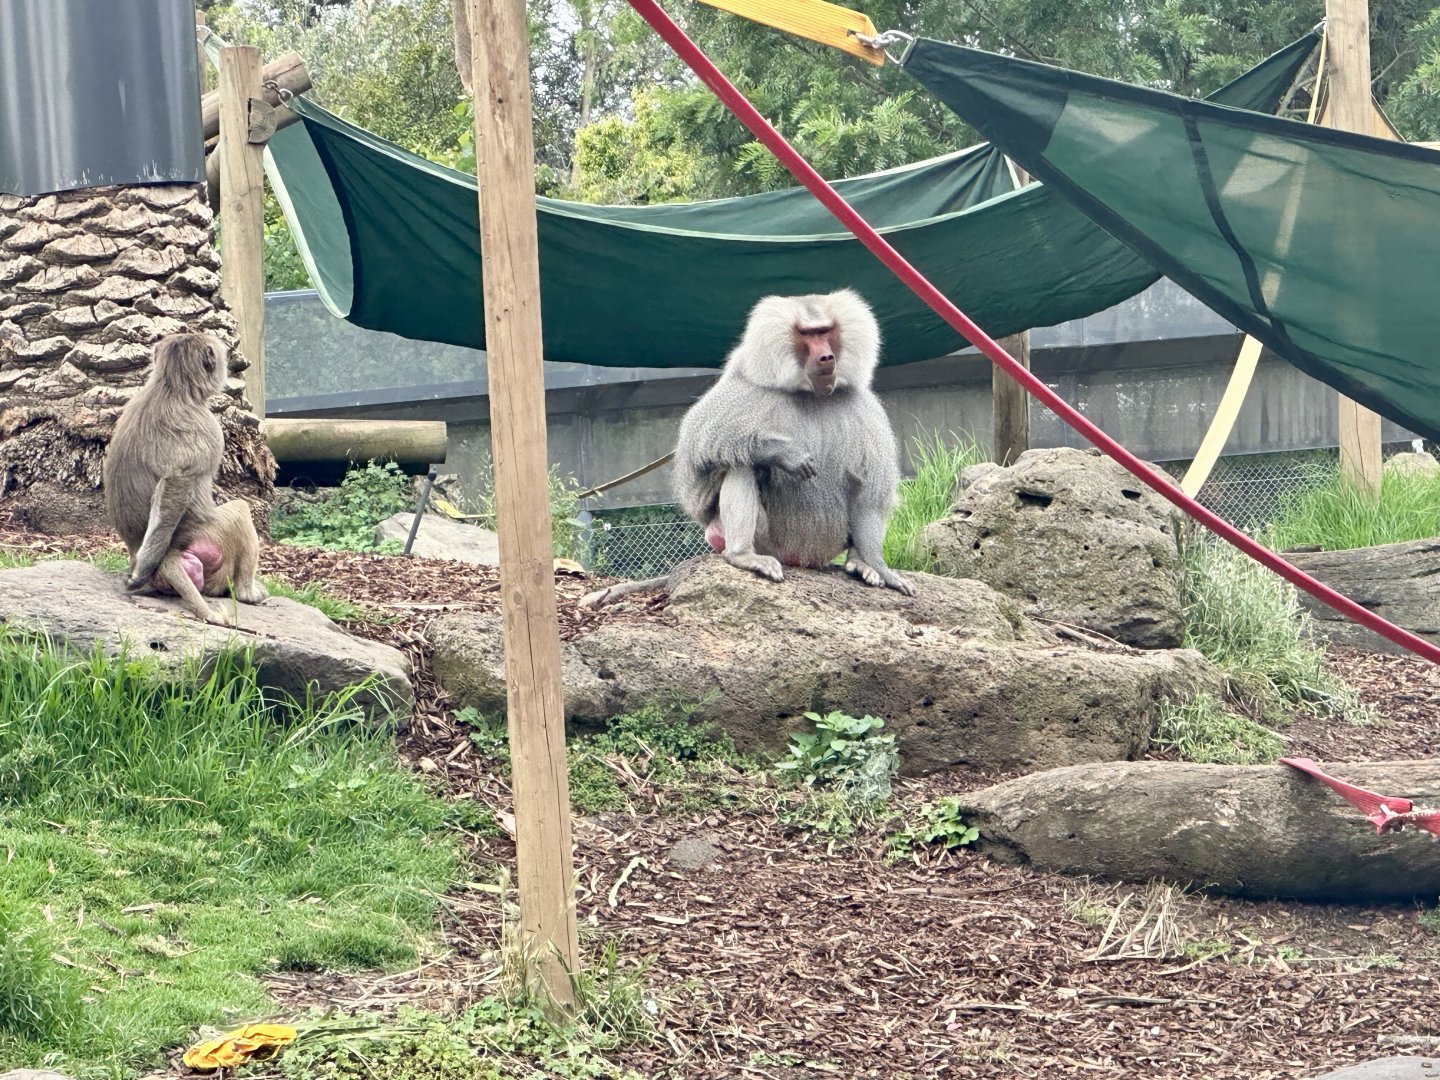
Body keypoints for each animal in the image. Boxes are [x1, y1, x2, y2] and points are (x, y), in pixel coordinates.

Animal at [102, 332, 267, 627]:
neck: (170, 386)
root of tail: (169, 556)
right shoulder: (210, 428)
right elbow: (177, 480)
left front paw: (139, 572)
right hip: (213, 541)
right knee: (240, 511)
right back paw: (247, 593)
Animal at [672, 288, 914, 596]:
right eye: (807, 334)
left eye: (825, 331)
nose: (826, 358)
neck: (811, 394)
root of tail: (802, 560)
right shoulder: (744, 388)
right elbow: (698, 446)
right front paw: (786, 453)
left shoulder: (863, 407)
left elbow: (869, 493)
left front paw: (880, 567)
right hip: (768, 543)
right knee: (740, 463)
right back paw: (743, 556)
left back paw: (860, 563)